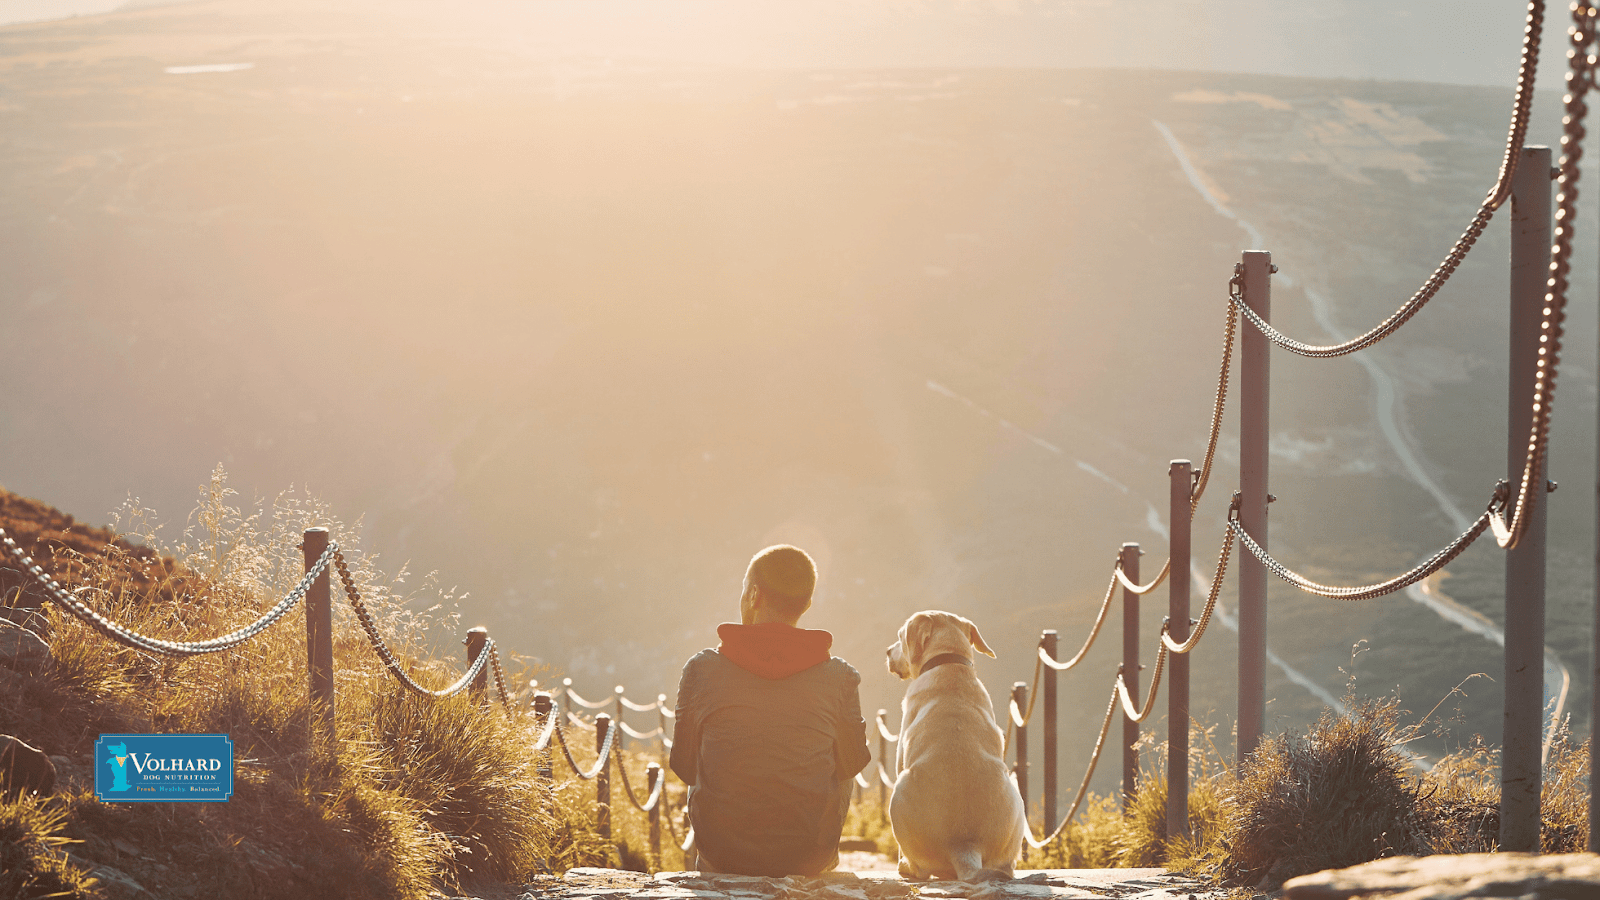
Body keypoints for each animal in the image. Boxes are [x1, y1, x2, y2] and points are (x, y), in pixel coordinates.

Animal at [889, 608, 1024, 877]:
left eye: (900, 637)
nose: (888, 651)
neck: (948, 663)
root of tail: (965, 846)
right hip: (1016, 792)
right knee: (1007, 866)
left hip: (897, 790)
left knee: (920, 868)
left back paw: (907, 867)